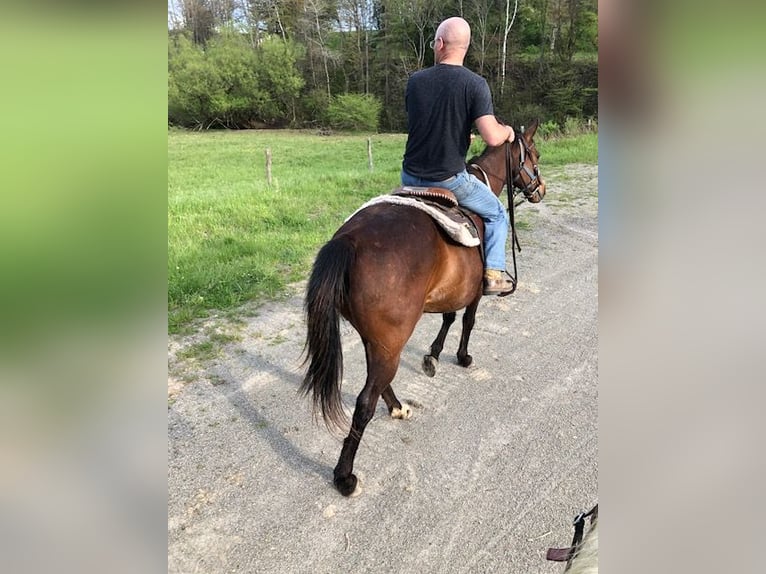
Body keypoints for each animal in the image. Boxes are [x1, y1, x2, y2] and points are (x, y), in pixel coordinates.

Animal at [300, 120, 544, 496]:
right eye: (535, 155)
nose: (540, 189)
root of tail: (348, 241)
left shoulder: (451, 291)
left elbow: (449, 316)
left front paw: (433, 355)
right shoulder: (474, 292)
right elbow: (467, 320)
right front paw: (461, 356)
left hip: (379, 338)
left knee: (378, 380)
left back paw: (398, 407)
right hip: (391, 338)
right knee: (364, 401)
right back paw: (345, 475)